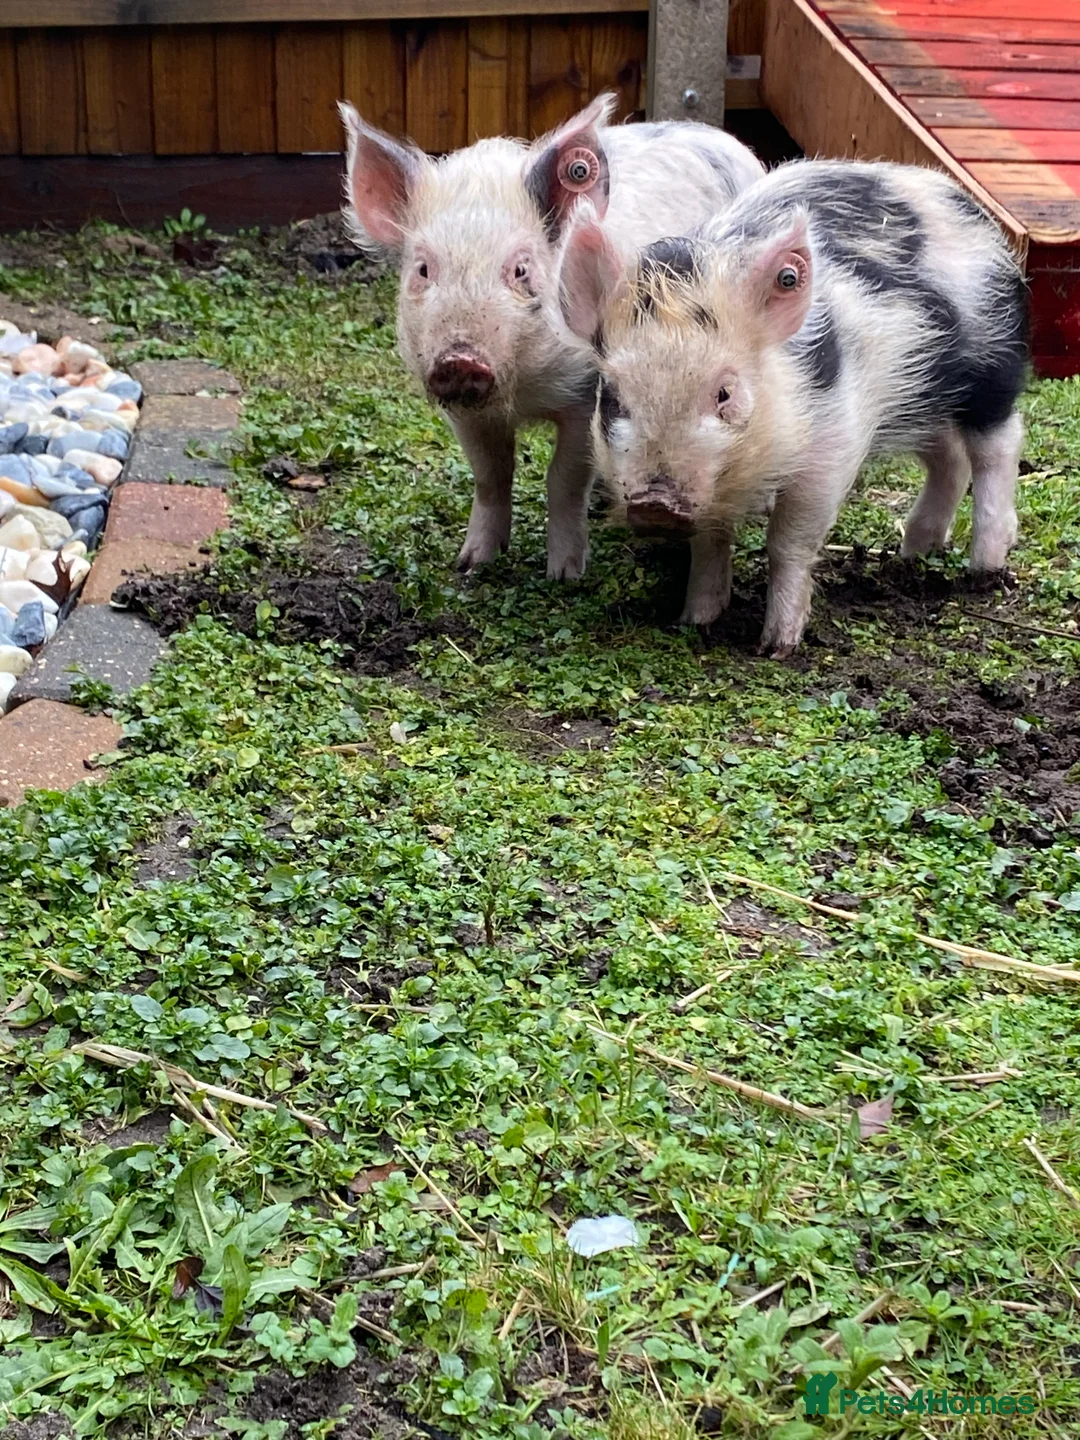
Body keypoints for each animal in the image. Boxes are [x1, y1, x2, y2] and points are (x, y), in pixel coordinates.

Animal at [339, 95, 764, 580]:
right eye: (424, 269)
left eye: (521, 269)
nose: (460, 359)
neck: (520, 392)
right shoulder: (464, 412)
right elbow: (490, 474)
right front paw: (471, 565)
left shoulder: (584, 395)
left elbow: (563, 479)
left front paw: (566, 575)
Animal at [554, 159, 1029, 653]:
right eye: (611, 396)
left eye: (725, 393)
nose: (654, 503)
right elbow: (709, 542)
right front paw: (695, 622)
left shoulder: (832, 446)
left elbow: (789, 543)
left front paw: (777, 646)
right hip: (924, 400)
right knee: (949, 459)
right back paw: (914, 552)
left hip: (992, 361)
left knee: (999, 445)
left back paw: (986, 569)